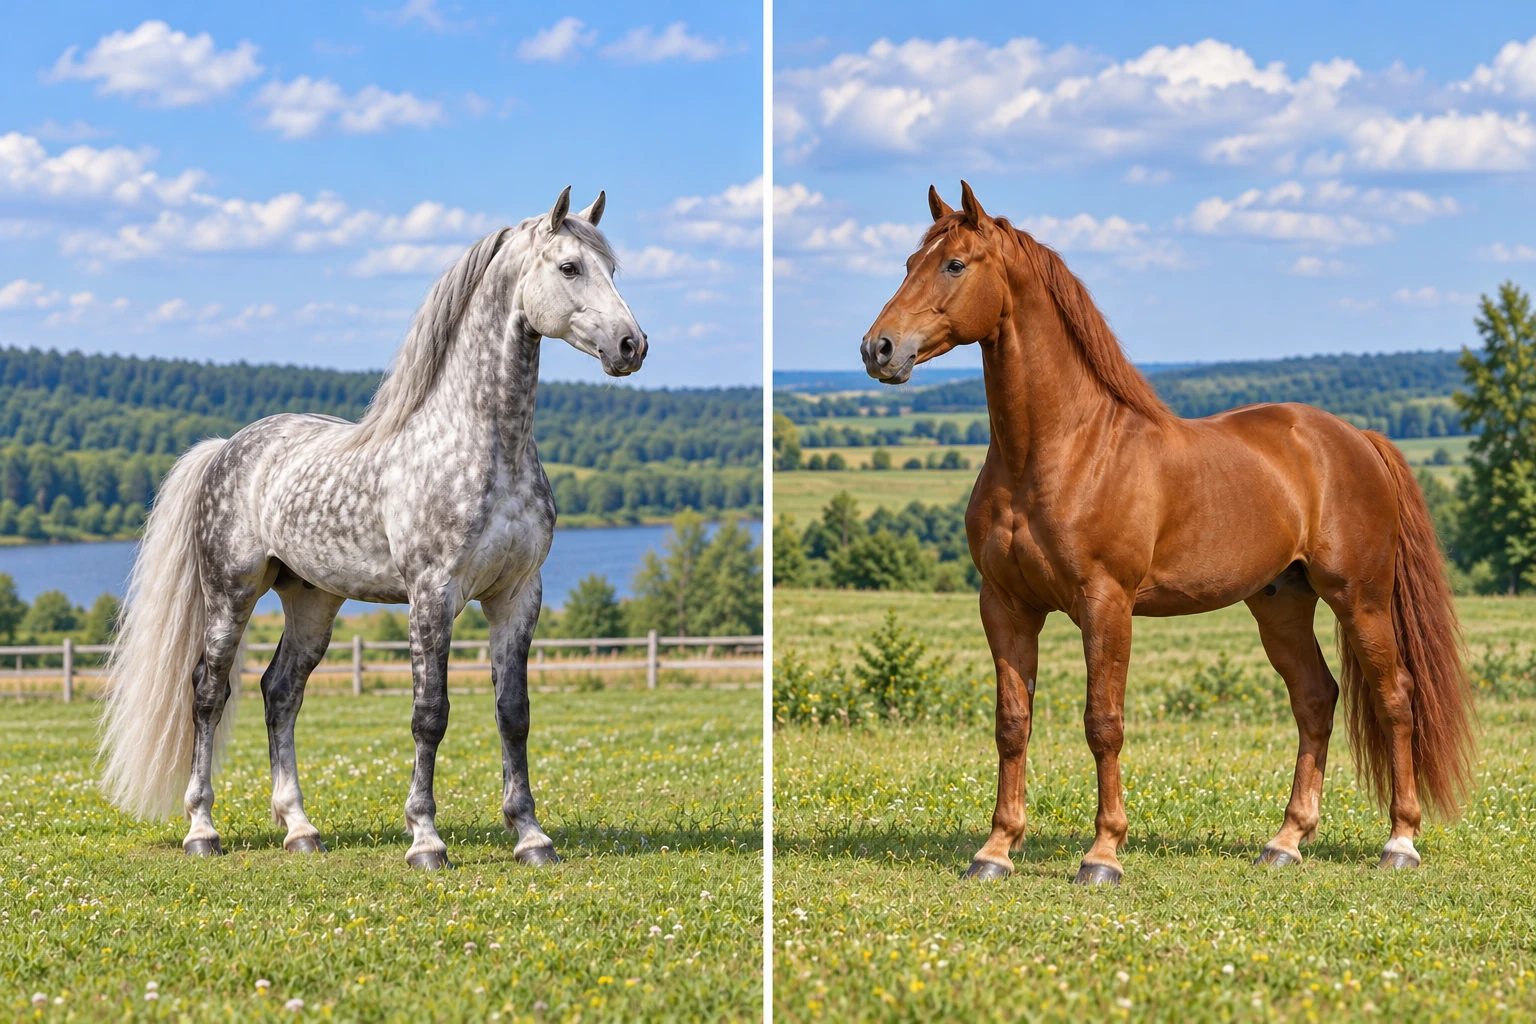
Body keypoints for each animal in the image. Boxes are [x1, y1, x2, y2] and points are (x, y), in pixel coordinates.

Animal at [99, 187, 646, 870]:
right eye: (570, 267)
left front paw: (530, 835)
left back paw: (300, 828)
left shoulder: (518, 595)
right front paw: (426, 839)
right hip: (231, 593)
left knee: (281, 691)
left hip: (313, 602)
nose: (631, 345)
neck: (486, 446)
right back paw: (202, 829)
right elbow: (429, 714)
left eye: (613, 269)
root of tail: (229, 447)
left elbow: (513, 713)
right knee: (207, 690)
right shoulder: (431, 595)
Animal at [859, 181, 1476, 885]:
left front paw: (1102, 855)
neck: (1059, 449)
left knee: (1395, 697)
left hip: (1361, 599)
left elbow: (1103, 722)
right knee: (1316, 699)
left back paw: (1400, 842)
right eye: (910, 263)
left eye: (955, 265)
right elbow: (1012, 723)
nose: (879, 349)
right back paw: (1286, 841)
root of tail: (1355, 439)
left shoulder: (1106, 603)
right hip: (1282, 603)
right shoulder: (1006, 605)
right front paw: (995, 850)